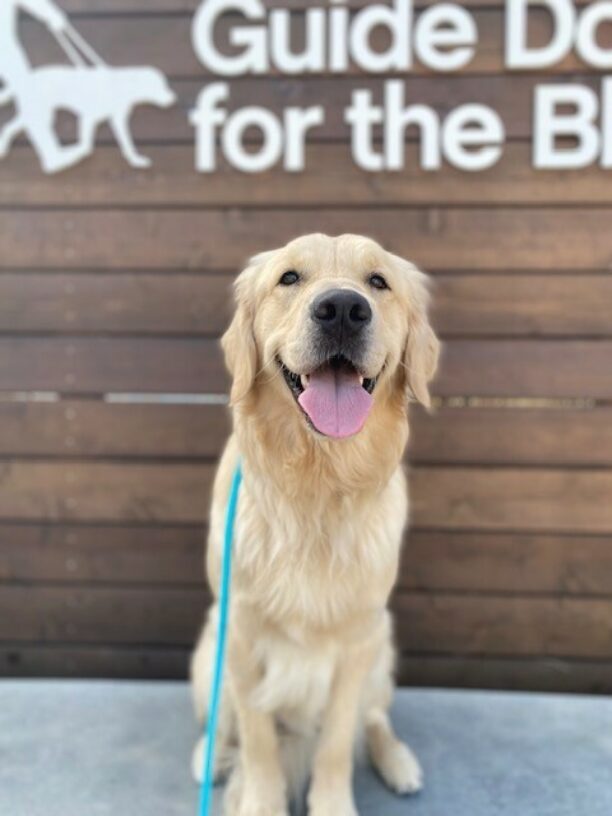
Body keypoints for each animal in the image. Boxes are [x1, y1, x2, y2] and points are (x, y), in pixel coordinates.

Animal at [191, 233, 440, 812]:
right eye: (288, 278)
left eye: (378, 281)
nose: (344, 310)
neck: (317, 486)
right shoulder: (240, 633)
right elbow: (257, 736)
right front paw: (260, 801)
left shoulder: (356, 642)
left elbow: (336, 740)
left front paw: (331, 803)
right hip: (207, 653)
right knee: (222, 721)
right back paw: (209, 756)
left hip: (382, 647)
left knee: (374, 718)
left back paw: (398, 761)